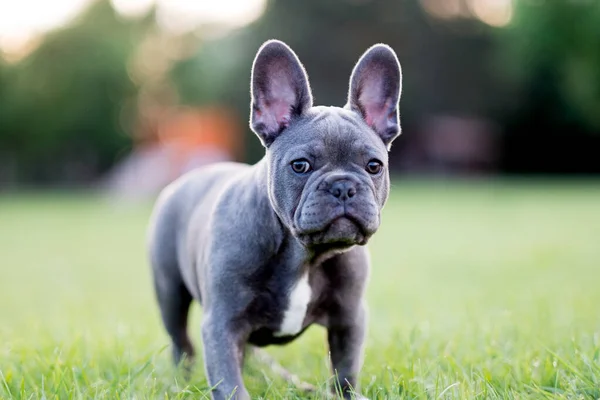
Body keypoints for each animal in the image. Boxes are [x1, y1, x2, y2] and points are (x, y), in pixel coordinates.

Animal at [148, 38, 404, 400]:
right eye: (300, 166)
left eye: (373, 166)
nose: (343, 187)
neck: (302, 255)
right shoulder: (222, 323)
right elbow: (229, 383)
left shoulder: (349, 318)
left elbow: (345, 371)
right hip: (169, 292)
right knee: (181, 343)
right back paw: (180, 381)